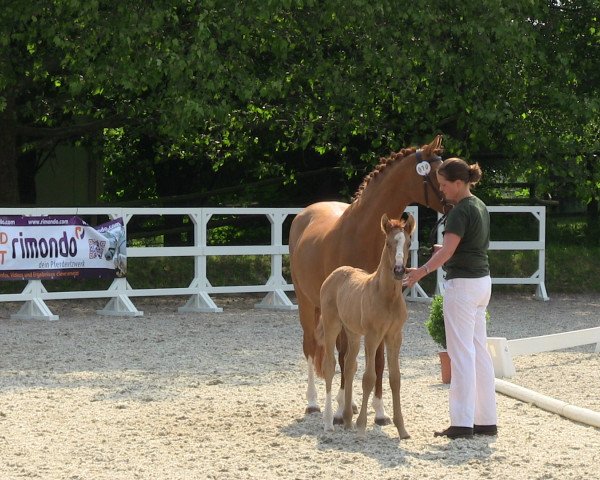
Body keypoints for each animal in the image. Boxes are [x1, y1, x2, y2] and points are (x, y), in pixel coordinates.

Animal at [318, 212, 418, 436]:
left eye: (408, 243)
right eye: (388, 243)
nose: (399, 270)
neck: (387, 296)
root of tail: (335, 273)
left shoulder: (394, 336)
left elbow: (395, 378)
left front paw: (402, 428)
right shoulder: (373, 336)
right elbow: (369, 377)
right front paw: (362, 425)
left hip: (352, 332)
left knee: (349, 365)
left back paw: (346, 419)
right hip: (332, 326)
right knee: (330, 365)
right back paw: (329, 421)